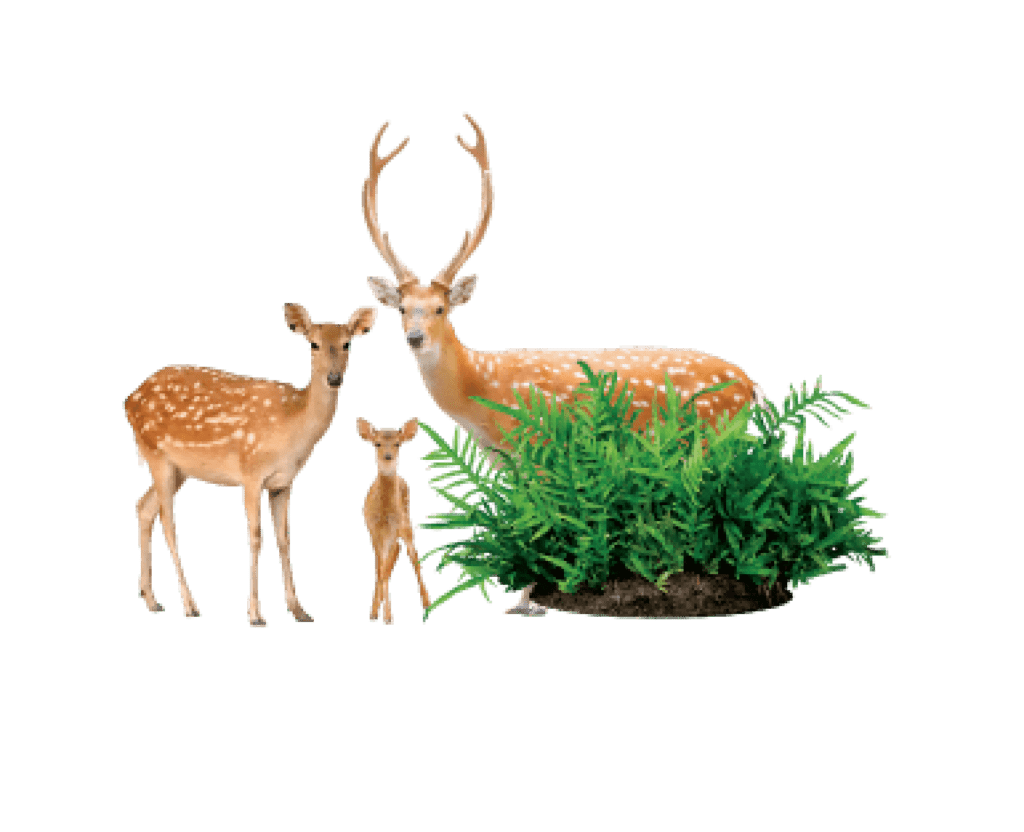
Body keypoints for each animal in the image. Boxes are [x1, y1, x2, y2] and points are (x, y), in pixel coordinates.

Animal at [124, 302, 379, 628]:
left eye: (348, 343)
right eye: (313, 344)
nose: (333, 378)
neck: (292, 429)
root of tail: (129, 399)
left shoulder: (283, 482)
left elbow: (284, 539)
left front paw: (299, 610)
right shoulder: (251, 471)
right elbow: (255, 537)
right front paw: (256, 614)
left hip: (179, 469)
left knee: (143, 506)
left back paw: (152, 600)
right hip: (156, 453)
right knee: (168, 523)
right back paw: (189, 605)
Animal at [356, 417, 432, 625]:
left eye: (398, 444)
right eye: (377, 443)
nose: (388, 457)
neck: (384, 515)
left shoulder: (394, 531)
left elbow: (386, 568)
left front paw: (387, 617)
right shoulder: (373, 531)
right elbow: (380, 569)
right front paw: (376, 614)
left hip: (406, 524)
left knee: (413, 558)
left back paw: (428, 604)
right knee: (383, 564)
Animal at [361, 113, 773, 616]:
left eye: (441, 309)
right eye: (402, 309)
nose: (415, 337)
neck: (482, 392)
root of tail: (752, 385)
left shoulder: (538, 439)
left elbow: (540, 516)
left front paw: (533, 598)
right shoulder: (496, 455)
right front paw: (523, 596)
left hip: (715, 431)